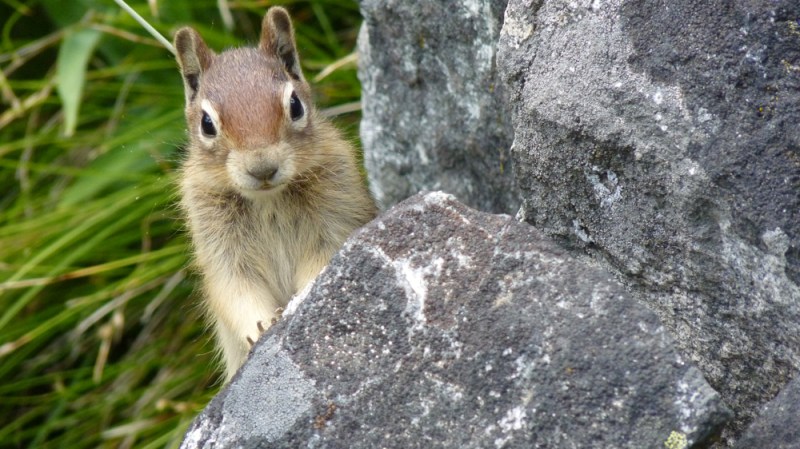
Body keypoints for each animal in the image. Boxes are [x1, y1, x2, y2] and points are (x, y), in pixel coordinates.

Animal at [173, 7, 377, 381]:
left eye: (295, 105)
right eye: (207, 124)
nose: (262, 168)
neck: (268, 198)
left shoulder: (335, 217)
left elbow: (320, 263)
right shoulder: (219, 246)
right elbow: (235, 290)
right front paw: (261, 327)